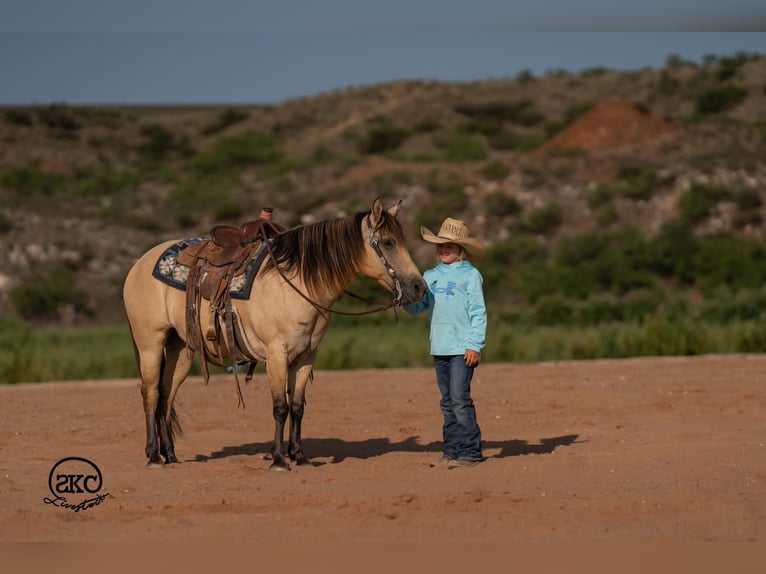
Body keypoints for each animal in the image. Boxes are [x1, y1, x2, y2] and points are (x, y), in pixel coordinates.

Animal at [123, 198, 427, 471]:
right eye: (388, 243)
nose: (419, 288)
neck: (297, 282)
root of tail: (138, 265)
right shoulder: (277, 353)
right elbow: (280, 406)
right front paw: (280, 460)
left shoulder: (306, 357)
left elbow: (297, 406)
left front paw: (300, 456)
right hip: (150, 343)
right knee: (150, 392)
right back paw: (153, 456)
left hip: (181, 348)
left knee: (166, 394)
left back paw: (170, 455)